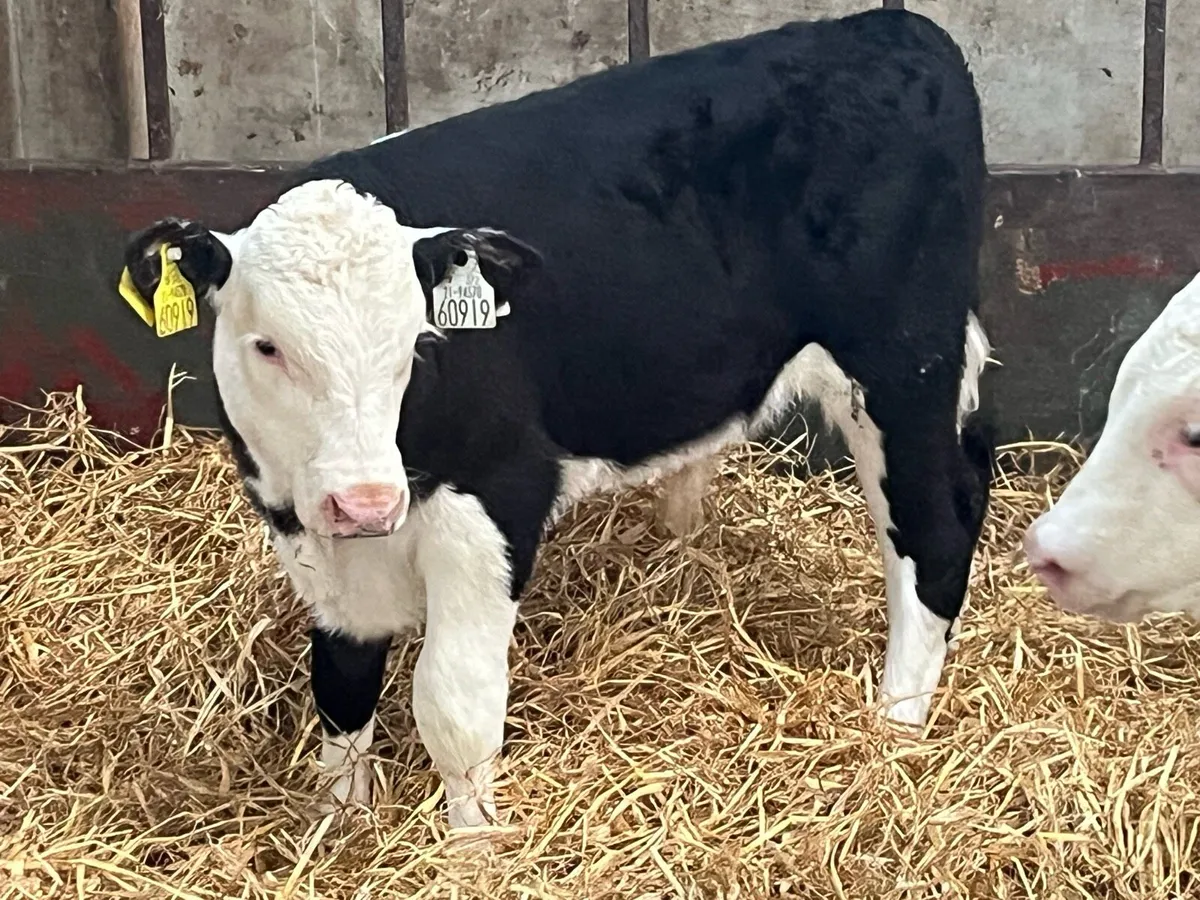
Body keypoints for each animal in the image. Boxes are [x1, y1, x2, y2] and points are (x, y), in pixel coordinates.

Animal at [122, 8, 994, 828]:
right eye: (267, 346)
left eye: (418, 343)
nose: (366, 501)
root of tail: (890, 28)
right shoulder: (302, 523)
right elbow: (340, 680)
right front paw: (339, 823)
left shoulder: (497, 496)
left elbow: (455, 708)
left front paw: (470, 850)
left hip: (900, 359)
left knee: (934, 531)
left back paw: (895, 728)